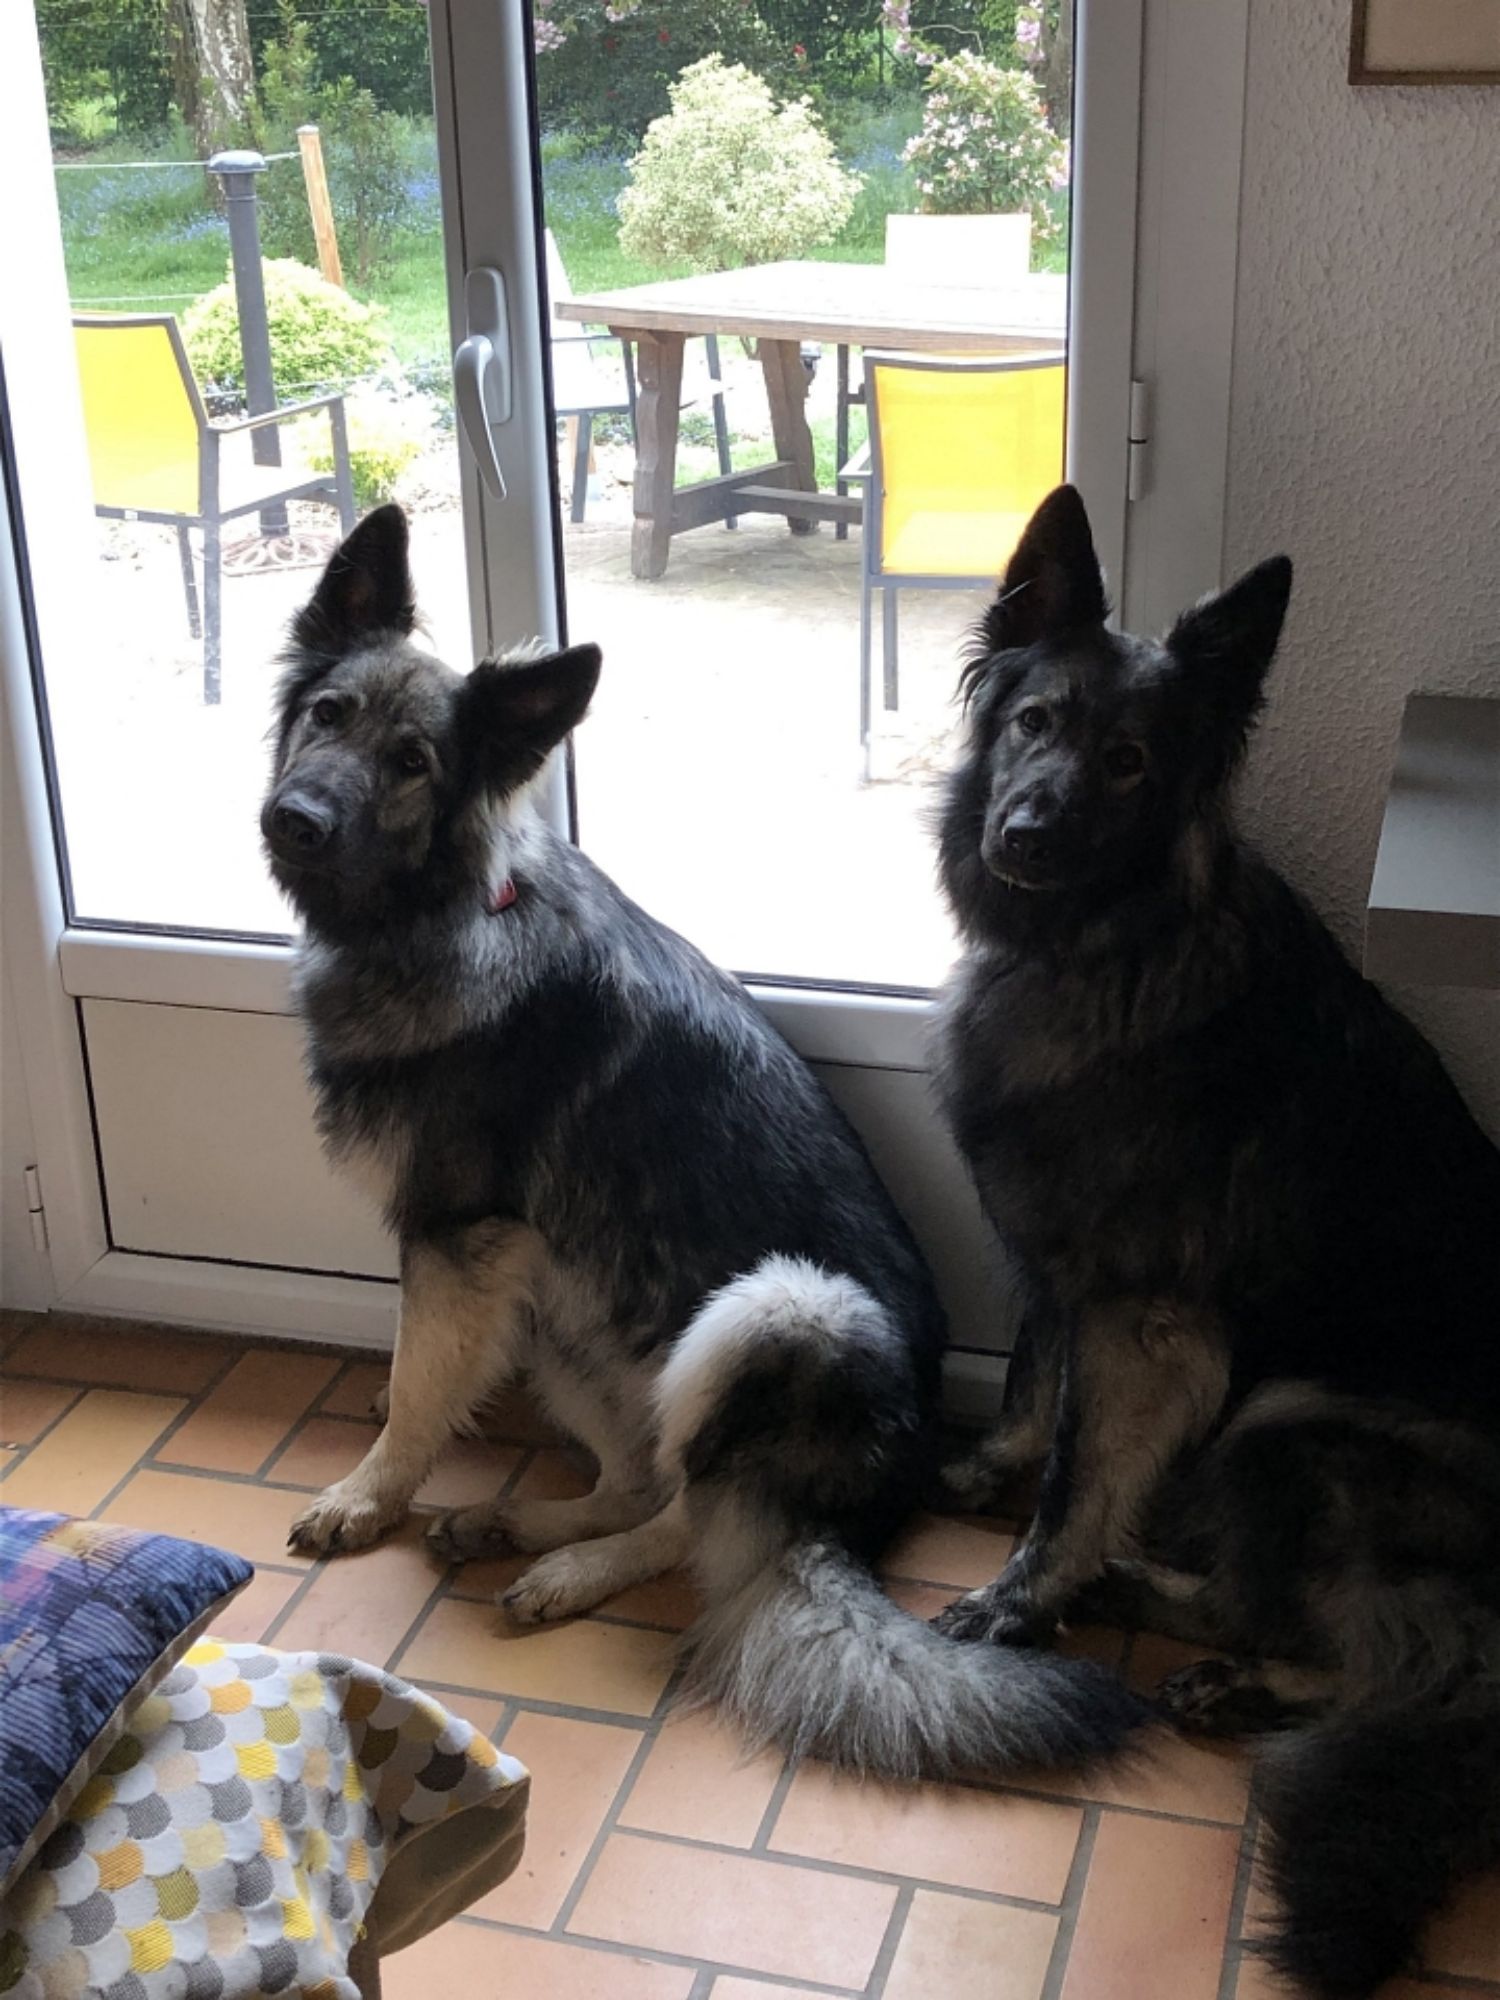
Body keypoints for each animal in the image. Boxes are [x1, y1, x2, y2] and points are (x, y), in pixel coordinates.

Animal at [259, 502, 1146, 1780]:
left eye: (413, 761)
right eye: (326, 715)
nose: (296, 819)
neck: (449, 911)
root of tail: (871, 1504)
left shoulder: (455, 1241)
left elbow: (412, 1389)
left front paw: (367, 1494)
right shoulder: (494, 1266)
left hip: (775, 1306)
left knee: (692, 1523)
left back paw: (567, 1567)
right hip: (566, 1307)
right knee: (642, 1476)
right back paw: (517, 1517)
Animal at [930, 484, 1500, 1997]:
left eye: (1131, 763)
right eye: (1034, 723)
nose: (1023, 834)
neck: (1100, 950)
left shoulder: (1142, 1313)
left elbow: (1083, 1465)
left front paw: (1026, 1595)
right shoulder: (1055, 1259)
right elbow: (1032, 1382)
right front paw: (998, 1469)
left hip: (1290, 1418)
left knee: (1423, 1662)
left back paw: (1233, 1662)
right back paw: (1159, 1587)